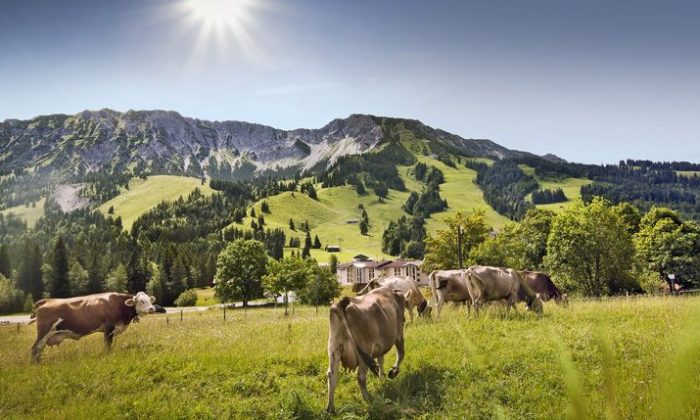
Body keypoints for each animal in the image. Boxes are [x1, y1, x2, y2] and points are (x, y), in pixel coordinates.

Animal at [29, 290, 157, 362]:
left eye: (149, 300)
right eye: (141, 301)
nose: (152, 308)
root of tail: (46, 301)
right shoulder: (108, 328)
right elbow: (108, 345)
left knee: (39, 350)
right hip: (43, 332)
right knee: (35, 349)